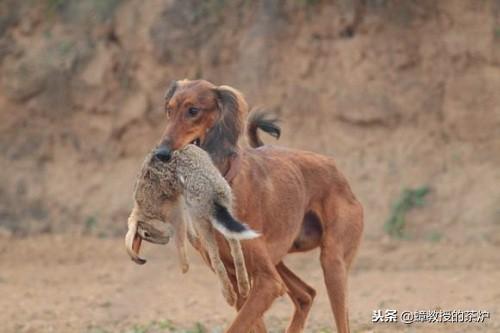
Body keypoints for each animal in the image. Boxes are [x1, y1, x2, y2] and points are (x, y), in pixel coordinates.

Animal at [137, 80, 364, 332]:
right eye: (169, 110)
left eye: (193, 111)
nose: (161, 154)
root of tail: (335, 168)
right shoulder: (238, 281)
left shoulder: (268, 283)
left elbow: (237, 326)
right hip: (279, 260)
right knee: (306, 294)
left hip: (333, 265)